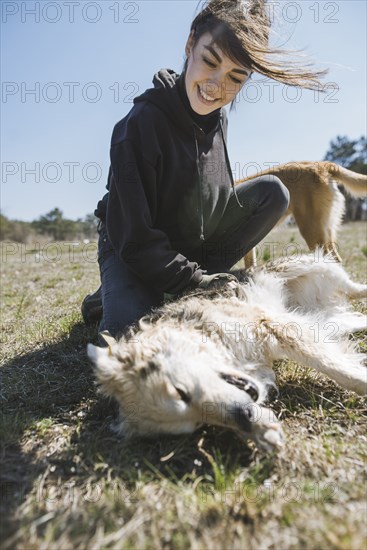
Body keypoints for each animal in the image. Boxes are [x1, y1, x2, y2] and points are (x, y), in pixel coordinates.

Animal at [87, 253, 366, 452]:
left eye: (180, 392)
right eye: (198, 424)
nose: (243, 417)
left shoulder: (273, 325)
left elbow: (336, 368)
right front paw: (262, 430)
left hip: (306, 267)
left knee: (351, 286)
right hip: (328, 320)